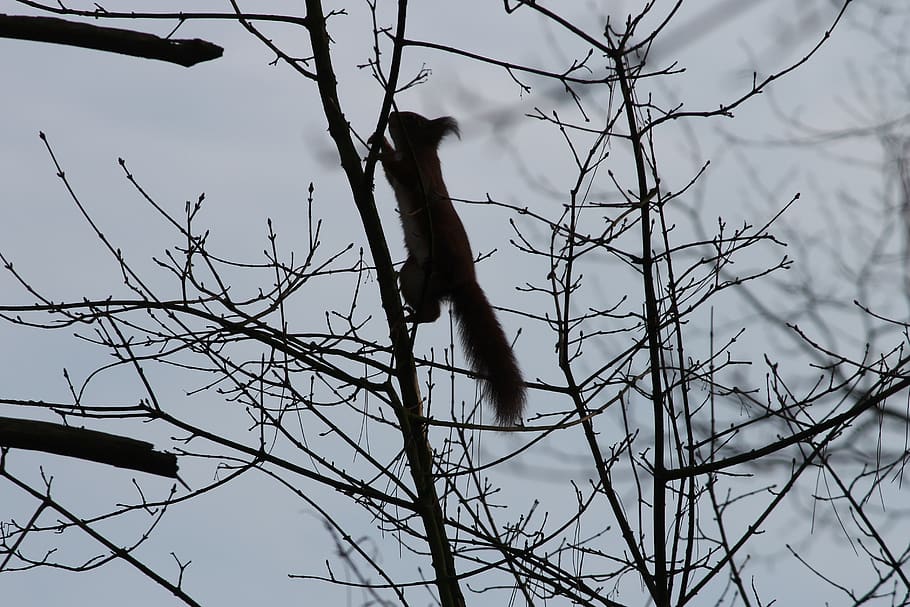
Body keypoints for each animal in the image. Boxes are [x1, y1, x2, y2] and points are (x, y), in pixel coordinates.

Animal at [371, 111, 526, 426]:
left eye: (412, 120)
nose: (392, 114)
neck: (418, 151)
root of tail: (465, 281)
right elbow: (393, 179)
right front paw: (377, 142)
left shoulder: (422, 173)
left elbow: (402, 173)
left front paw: (381, 147)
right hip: (413, 276)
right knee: (434, 311)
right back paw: (413, 316)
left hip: (442, 256)